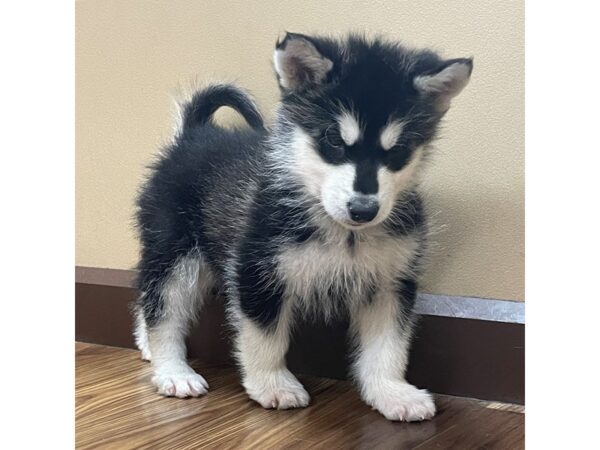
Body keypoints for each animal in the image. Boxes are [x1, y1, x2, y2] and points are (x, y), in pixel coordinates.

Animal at [134, 32, 472, 422]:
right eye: (334, 139)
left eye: (398, 148)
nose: (363, 209)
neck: (346, 234)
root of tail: (194, 133)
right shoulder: (257, 272)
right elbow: (264, 339)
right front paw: (272, 384)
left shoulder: (391, 282)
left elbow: (388, 346)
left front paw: (391, 391)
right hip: (176, 253)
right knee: (162, 308)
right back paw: (172, 370)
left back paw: (148, 348)